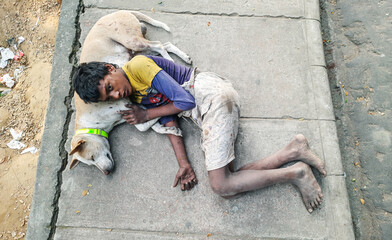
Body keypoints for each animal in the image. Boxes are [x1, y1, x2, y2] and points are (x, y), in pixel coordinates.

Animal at [70, 10, 190, 174]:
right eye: (90, 164)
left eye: (92, 157)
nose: (107, 173)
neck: (90, 123)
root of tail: (118, 12)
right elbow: (151, 126)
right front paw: (170, 129)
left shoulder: (124, 105)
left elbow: (142, 125)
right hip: (136, 51)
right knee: (166, 44)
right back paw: (182, 57)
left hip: (132, 42)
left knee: (159, 45)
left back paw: (171, 60)